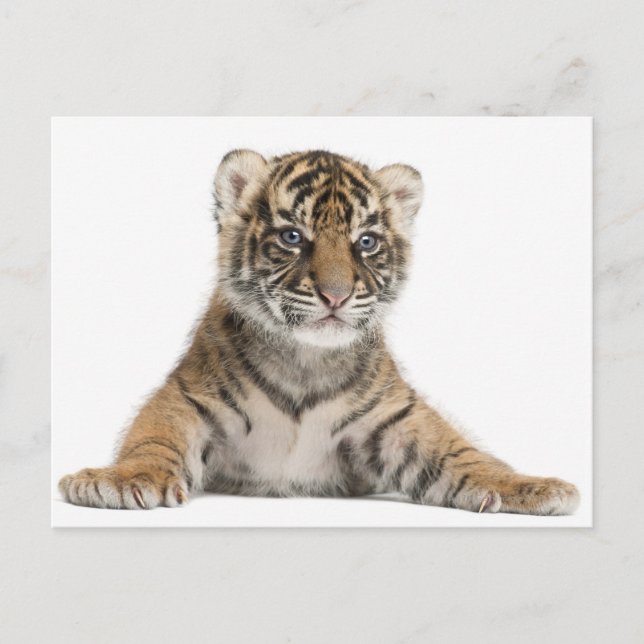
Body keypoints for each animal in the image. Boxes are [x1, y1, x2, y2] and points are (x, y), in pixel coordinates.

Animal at [58, 149, 580, 515]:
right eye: (293, 237)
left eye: (365, 243)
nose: (336, 296)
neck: (306, 360)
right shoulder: (187, 397)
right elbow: (153, 438)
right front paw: (121, 480)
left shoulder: (398, 418)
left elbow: (461, 452)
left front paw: (532, 487)